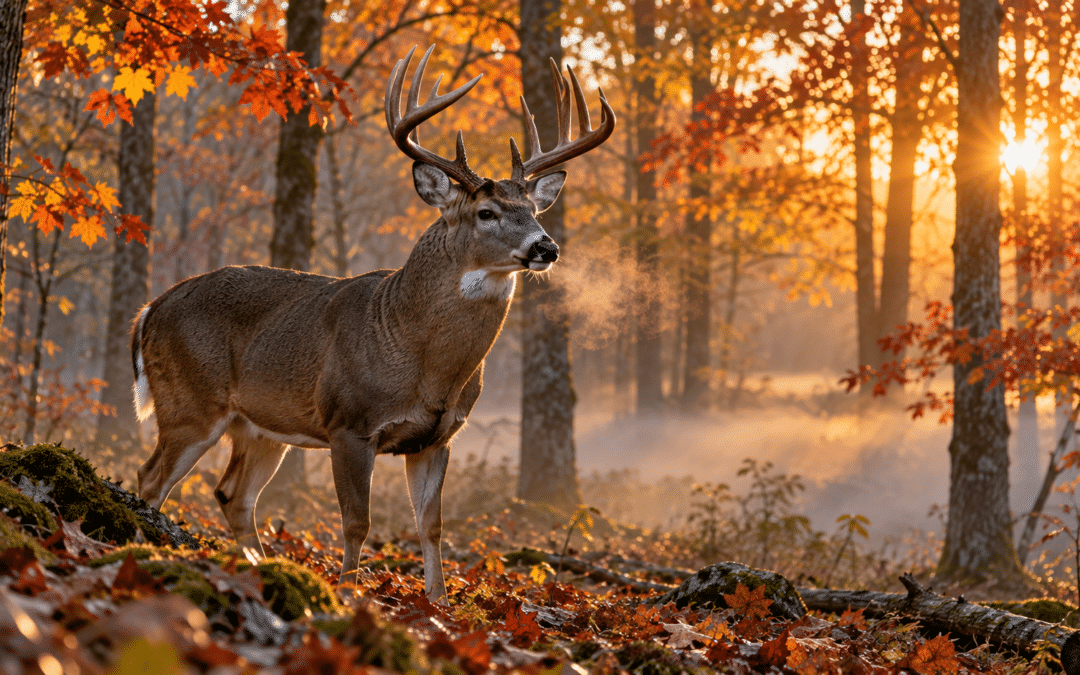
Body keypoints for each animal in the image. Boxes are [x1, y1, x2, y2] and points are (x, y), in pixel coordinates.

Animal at [129, 46, 615, 603]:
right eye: (487, 212)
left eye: (535, 209)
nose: (545, 246)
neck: (420, 358)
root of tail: (150, 310)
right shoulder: (349, 423)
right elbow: (356, 522)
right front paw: (348, 591)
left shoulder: (437, 437)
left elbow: (430, 525)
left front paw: (437, 602)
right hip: (190, 402)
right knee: (151, 478)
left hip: (260, 426)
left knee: (233, 494)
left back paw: (261, 567)